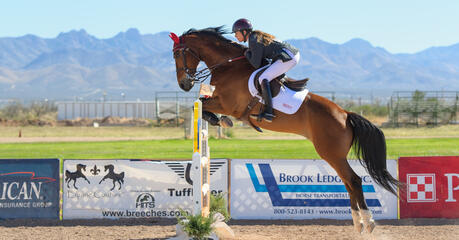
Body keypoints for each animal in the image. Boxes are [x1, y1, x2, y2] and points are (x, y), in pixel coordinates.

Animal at [171, 27, 400, 233]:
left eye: (176, 54)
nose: (184, 84)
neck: (228, 67)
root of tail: (345, 114)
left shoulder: (228, 104)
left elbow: (201, 103)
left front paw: (219, 120)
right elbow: (202, 103)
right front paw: (219, 120)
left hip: (331, 153)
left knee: (353, 180)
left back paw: (368, 223)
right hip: (335, 155)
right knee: (347, 182)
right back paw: (358, 223)